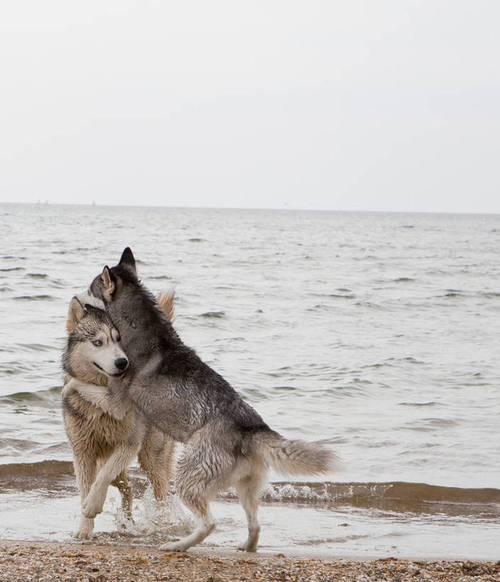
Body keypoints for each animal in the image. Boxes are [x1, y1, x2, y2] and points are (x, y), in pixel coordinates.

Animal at [63, 294, 176, 540]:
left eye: (118, 340)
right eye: (98, 342)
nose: (122, 362)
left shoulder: (129, 444)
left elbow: (102, 478)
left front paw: (92, 505)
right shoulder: (82, 451)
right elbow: (87, 486)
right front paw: (85, 529)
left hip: (151, 456)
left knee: (162, 490)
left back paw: (162, 524)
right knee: (128, 487)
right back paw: (126, 522)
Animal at [84, 249, 334, 556]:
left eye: (90, 289)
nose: (77, 300)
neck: (139, 327)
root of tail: (252, 428)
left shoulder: (116, 396)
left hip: (187, 475)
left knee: (208, 523)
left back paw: (178, 545)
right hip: (245, 489)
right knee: (255, 525)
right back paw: (245, 547)